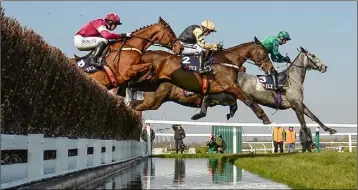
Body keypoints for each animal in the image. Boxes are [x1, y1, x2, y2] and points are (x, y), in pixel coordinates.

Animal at [130, 37, 276, 124]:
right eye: (265, 53)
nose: (271, 69)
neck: (227, 61)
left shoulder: (219, 92)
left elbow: (231, 103)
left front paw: (200, 114)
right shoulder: (231, 86)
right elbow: (249, 101)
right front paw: (264, 117)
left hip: (153, 100)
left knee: (134, 105)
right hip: (152, 100)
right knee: (134, 106)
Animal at [130, 46, 338, 142]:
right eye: (313, 56)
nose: (325, 67)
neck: (292, 79)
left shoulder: (300, 104)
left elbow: (314, 117)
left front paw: (329, 130)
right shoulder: (295, 105)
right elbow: (304, 123)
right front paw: (309, 141)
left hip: (225, 94)